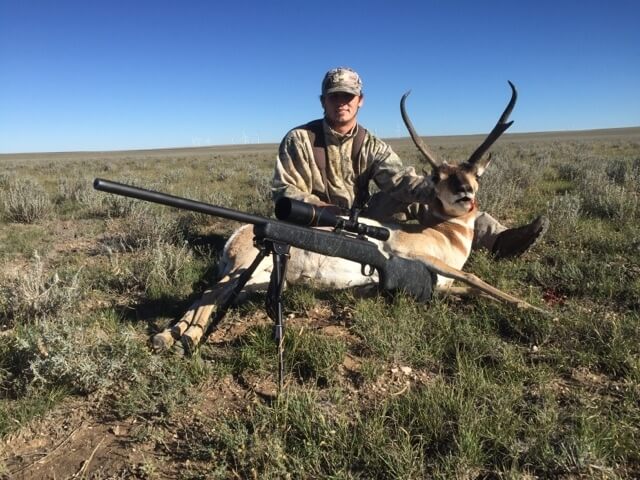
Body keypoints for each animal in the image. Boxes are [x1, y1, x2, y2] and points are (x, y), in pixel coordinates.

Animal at [153, 81, 548, 353]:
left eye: (473, 174)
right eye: (438, 176)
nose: (464, 193)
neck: (443, 234)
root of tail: (236, 235)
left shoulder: (443, 285)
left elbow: (472, 289)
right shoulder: (418, 257)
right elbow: (477, 278)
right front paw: (538, 309)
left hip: (258, 279)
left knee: (207, 296)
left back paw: (170, 335)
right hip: (248, 271)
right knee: (209, 297)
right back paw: (180, 338)